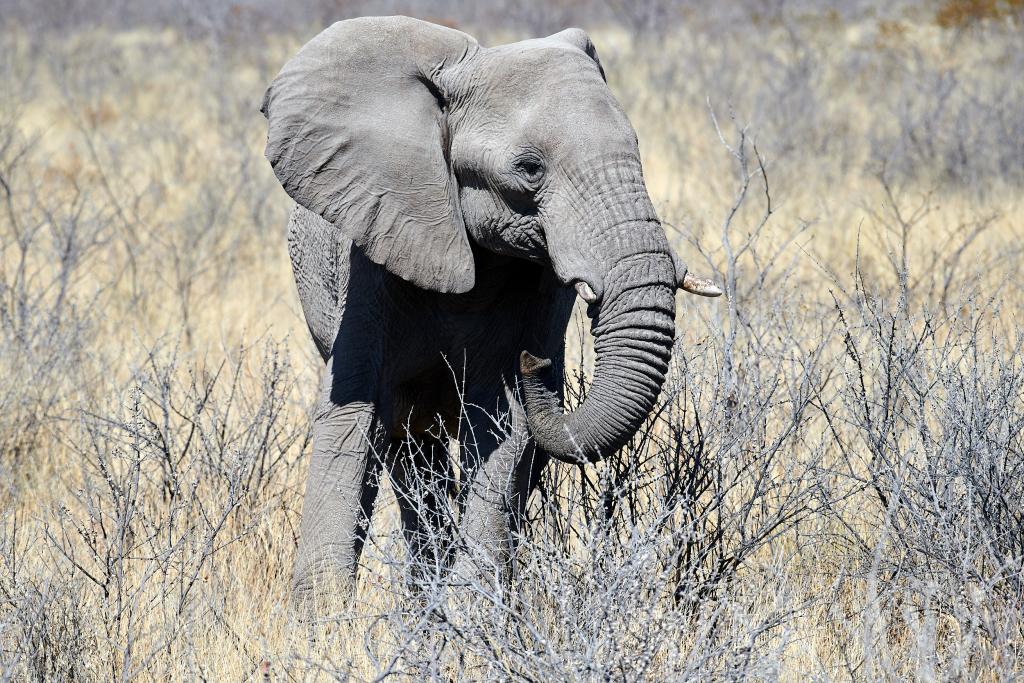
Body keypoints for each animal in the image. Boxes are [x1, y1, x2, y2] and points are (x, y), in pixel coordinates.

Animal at [260, 14, 724, 602]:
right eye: (529, 168)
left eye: (636, 145)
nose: (538, 362)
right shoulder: (371, 253)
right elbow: (354, 413)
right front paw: (322, 620)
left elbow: (502, 423)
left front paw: (472, 610)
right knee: (410, 449)